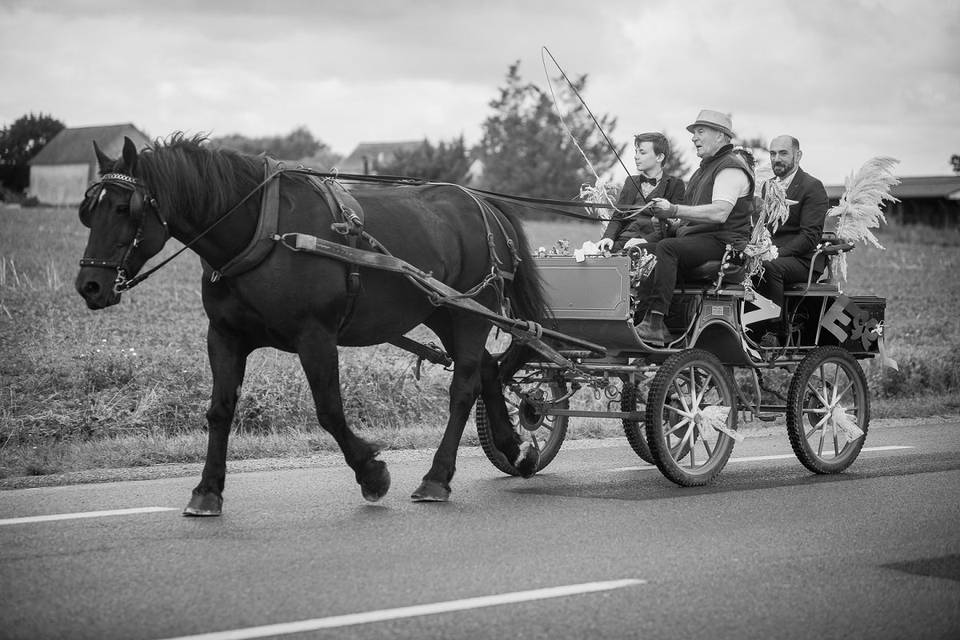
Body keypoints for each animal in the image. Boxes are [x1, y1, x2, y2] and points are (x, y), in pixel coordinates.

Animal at [77, 136, 548, 516]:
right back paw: (516, 449)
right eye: (88, 211)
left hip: (471, 312)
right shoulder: (224, 336)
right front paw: (207, 490)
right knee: (488, 368)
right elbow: (219, 410)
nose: (90, 285)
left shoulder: (315, 336)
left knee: (464, 386)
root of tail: (484, 205)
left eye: (125, 208)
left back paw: (437, 477)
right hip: (442, 311)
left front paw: (372, 474)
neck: (262, 231)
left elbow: (329, 410)